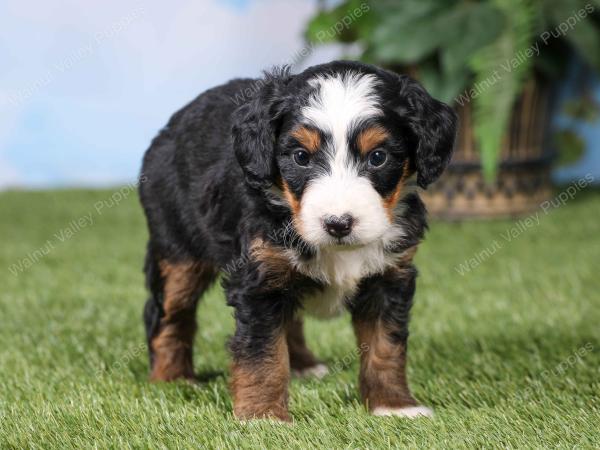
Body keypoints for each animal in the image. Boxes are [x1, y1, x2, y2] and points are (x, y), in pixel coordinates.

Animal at [141, 59, 458, 422]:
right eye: (301, 157)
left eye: (378, 157)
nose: (338, 223)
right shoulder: (259, 278)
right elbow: (262, 351)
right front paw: (263, 415)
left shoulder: (388, 276)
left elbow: (385, 346)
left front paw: (393, 405)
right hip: (178, 251)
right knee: (167, 312)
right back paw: (173, 378)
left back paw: (302, 365)